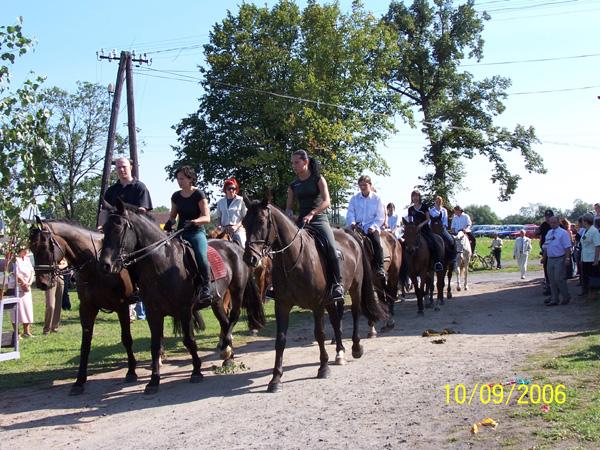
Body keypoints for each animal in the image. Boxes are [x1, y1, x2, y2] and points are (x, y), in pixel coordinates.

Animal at [29, 218, 142, 394]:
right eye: (31, 248)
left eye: (45, 246)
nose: (42, 283)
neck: (96, 267)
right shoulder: (87, 309)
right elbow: (85, 345)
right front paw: (79, 381)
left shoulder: (122, 307)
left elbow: (126, 339)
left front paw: (131, 372)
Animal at [99, 200, 264, 394]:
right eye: (104, 229)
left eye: (118, 229)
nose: (105, 265)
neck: (162, 263)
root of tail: (236, 248)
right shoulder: (153, 313)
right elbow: (156, 345)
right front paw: (153, 381)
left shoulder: (184, 310)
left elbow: (189, 340)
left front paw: (196, 371)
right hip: (217, 301)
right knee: (225, 323)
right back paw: (228, 356)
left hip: (237, 291)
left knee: (234, 317)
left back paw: (225, 350)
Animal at [241, 199, 386, 392]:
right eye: (244, 223)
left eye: (261, 221)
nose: (250, 258)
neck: (295, 258)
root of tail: (350, 235)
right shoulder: (282, 305)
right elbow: (280, 340)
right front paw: (275, 379)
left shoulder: (317, 304)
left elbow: (320, 334)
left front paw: (323, 368)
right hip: (331, 300)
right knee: (336, 320)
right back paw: (340, 353)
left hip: (355, 288)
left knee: (355, 313)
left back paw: (356, 347)